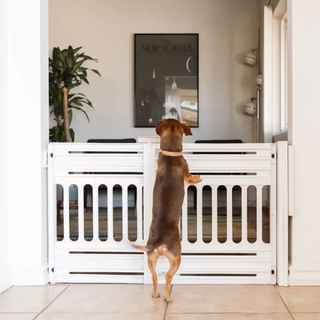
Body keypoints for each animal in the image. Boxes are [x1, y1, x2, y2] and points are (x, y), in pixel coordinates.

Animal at [134, 119, 201, 302]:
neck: (171, 153)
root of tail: (160, 241)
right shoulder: (186, 172)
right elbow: (191, 178)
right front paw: (198, 178)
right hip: (176, 258)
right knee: (168, 276)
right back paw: (167, 297)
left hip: (151, 258)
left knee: (154, 276)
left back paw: (156, 294)